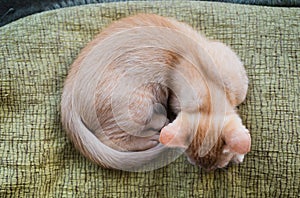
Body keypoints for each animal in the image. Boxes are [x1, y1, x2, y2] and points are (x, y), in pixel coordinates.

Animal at [61, 13, 251, 172]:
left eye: (217, 167)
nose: (207, 171)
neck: (207, 91)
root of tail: (68, 91)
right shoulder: (177, 96)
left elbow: (240, 93)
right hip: (138, 105)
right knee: (112, 139)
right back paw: (154, 131)